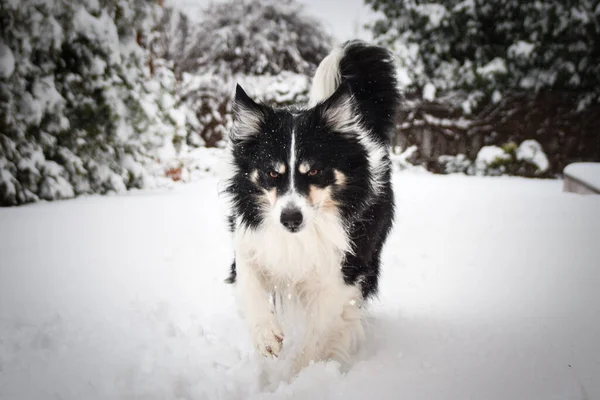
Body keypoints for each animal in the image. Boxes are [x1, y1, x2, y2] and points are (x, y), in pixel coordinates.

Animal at [223, 39, 400, 374]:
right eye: (272, 173)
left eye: (315, 171)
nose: (290, 219)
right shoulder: (251, 242)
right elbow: (250, 284)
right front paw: (266, 336)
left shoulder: (341, 276)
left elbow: (318, 336)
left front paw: (298, 377)